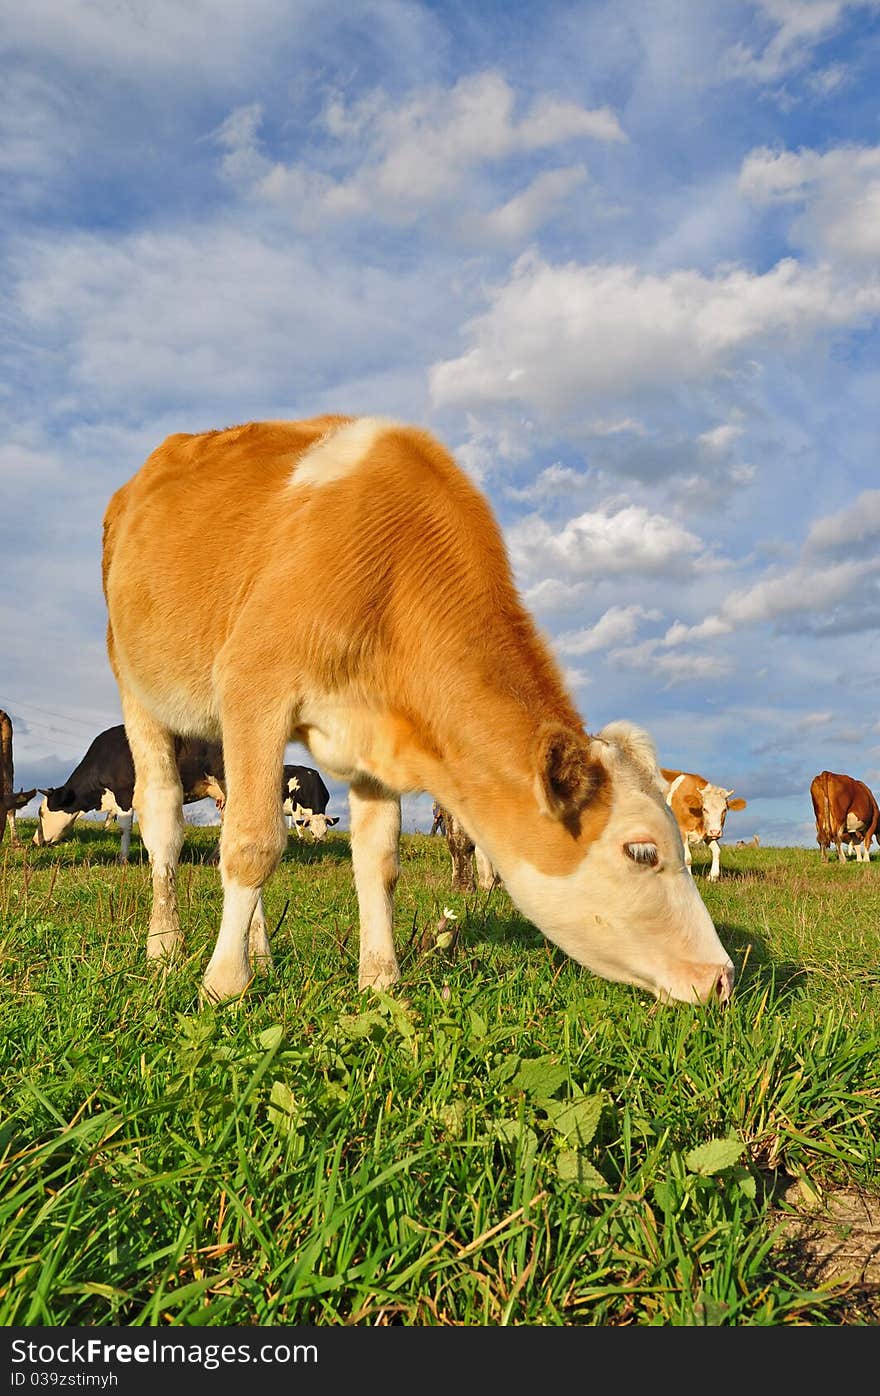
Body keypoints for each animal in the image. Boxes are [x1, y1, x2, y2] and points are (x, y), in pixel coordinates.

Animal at [101, 410, 737, 1005]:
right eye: (642, 851)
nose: (723, 977)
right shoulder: (254, 688)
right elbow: (253, 844)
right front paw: (223, 985)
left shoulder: (374, 734)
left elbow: (378, 864)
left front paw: (380, 982)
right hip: (138, 686)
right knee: (164, 818)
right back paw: (166, 947)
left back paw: (259, 950)